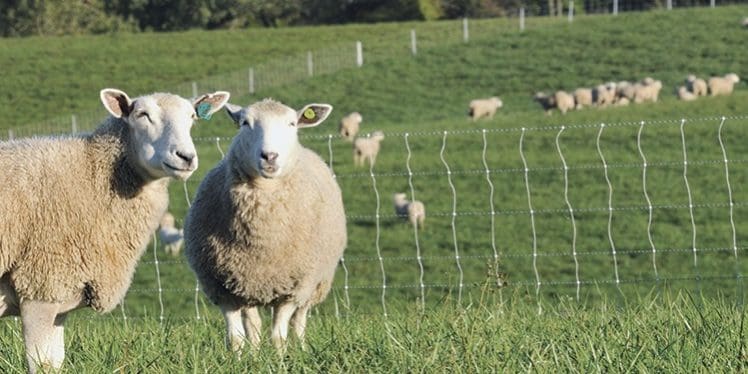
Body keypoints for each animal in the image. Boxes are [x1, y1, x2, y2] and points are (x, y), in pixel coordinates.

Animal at [0, 87, 229, 372]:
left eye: (192, 117)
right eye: (142, 115)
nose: (186, 157)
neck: (91, 174)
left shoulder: (60, 299)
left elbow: (56, 362)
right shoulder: (41, 286)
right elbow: (41, 365)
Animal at [183, 98, 346, 352]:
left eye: (291, 123)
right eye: (244, 123)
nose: (269, 156)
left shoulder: (293, 288)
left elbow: (279, 335)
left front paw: (280, 357)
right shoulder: (222, 287)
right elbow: (236, 337)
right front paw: (243, 357)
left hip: (314, 283)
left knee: (299, 320)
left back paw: (300, 347)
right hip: (246, 285)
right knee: (254, 323)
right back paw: (256, 350)